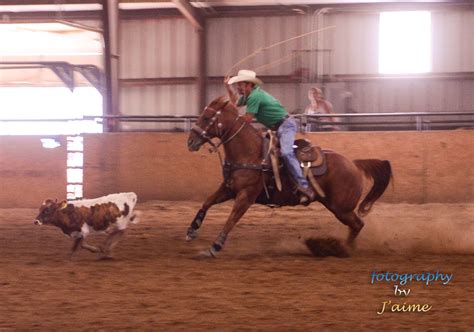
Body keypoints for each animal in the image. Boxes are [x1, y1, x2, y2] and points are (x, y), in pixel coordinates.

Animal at [186, 95, 392, 256]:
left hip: (342, 208)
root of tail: (354, 163)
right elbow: (207, 202)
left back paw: (343, 249)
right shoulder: (229, 189)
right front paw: (191, 230)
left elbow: (231, 220)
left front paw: (214, 247)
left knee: (358, 225)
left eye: (206, 118)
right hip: (337, 206)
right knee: (356, 225)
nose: (190, 142)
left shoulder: (246, 196)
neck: (251, 153)